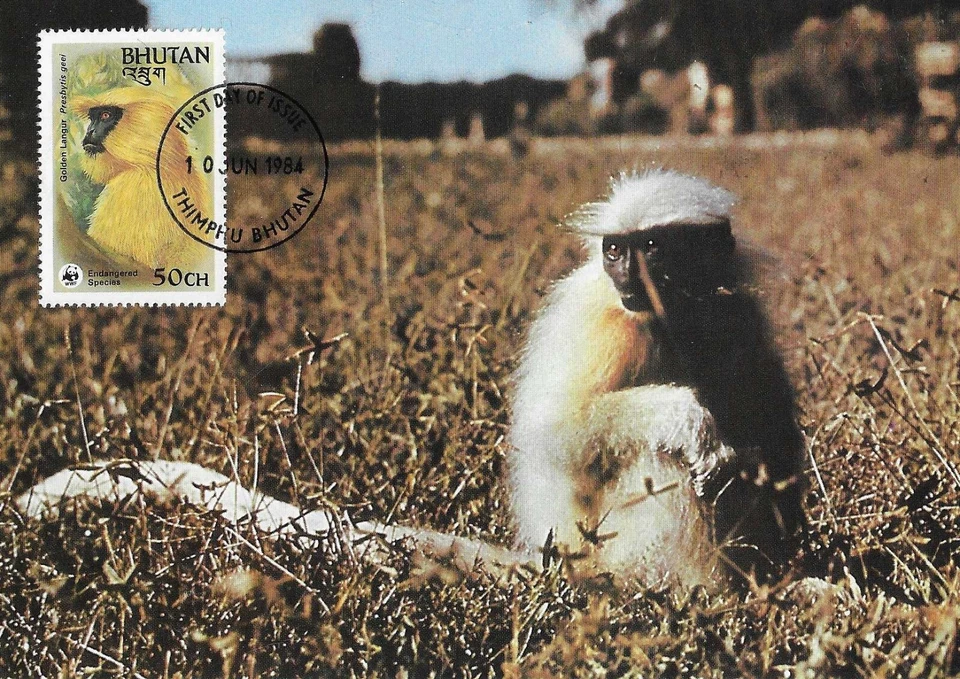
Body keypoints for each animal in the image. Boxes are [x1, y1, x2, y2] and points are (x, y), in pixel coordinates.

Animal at [508, 169, 805, 586]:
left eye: (651, 247)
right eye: (614, 250)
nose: (626, 274)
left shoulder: (735, 311)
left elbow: (775, 434)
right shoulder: (603, 325)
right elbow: (553, 432)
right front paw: (692, 423)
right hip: (606, 554)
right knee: (661, 455)